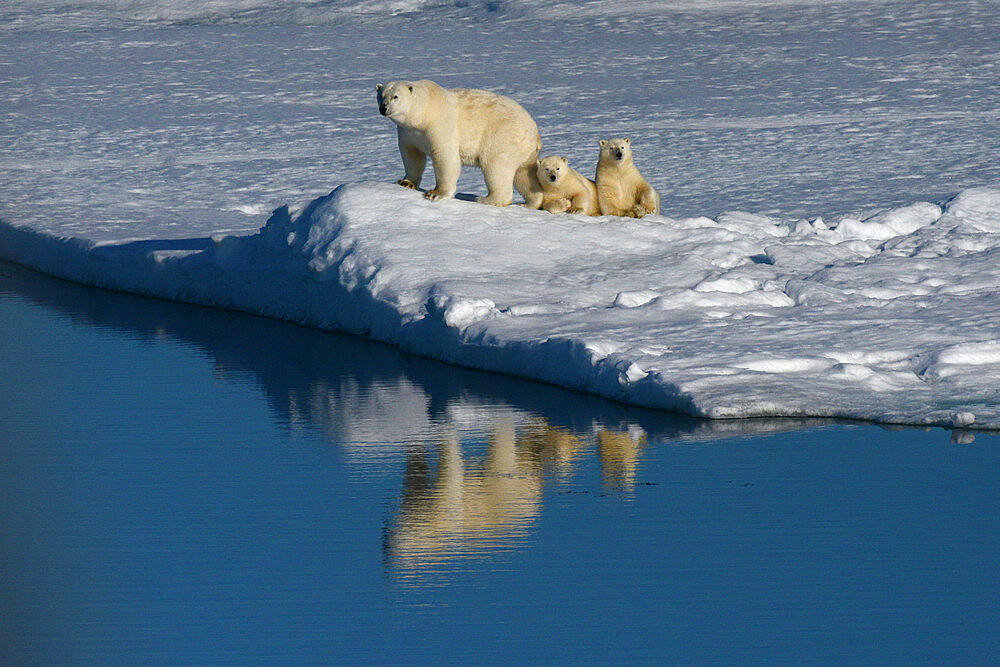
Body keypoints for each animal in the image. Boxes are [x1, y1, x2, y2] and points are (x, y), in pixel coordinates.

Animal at [376, 79, 548, 207]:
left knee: (495, 165)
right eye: (381, 95)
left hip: (503, 136)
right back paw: (529, 203)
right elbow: (411, 155)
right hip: (524, 151)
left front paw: (435, 193)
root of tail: (535, 132)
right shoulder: (408, 133)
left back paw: (486, 199)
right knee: (523, 174)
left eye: (396, 96)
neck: (424, 113)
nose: (383, 108)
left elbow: (445, 157)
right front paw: (405, 183)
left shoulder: (441, 125)